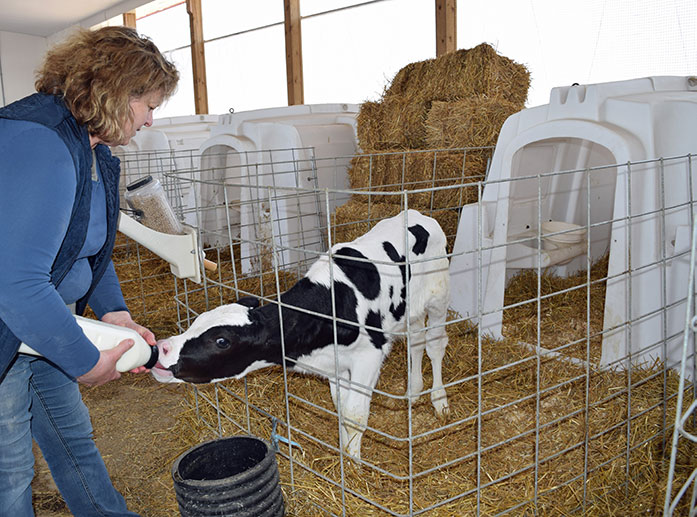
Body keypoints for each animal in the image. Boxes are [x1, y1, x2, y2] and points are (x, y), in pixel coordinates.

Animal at [151, 209, 450, 460]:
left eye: (221, 341)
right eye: (196, 321)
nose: (163, 347)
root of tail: (419, 215)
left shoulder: (369, 356)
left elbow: (354, 414)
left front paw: (354, 464)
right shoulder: (335, 363)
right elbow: (340, 408)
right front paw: (344, 454)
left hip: (438, 298)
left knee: (434, 345)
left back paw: (439, 401)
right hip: (410, 312)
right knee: (416, 343)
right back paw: (412, 392)